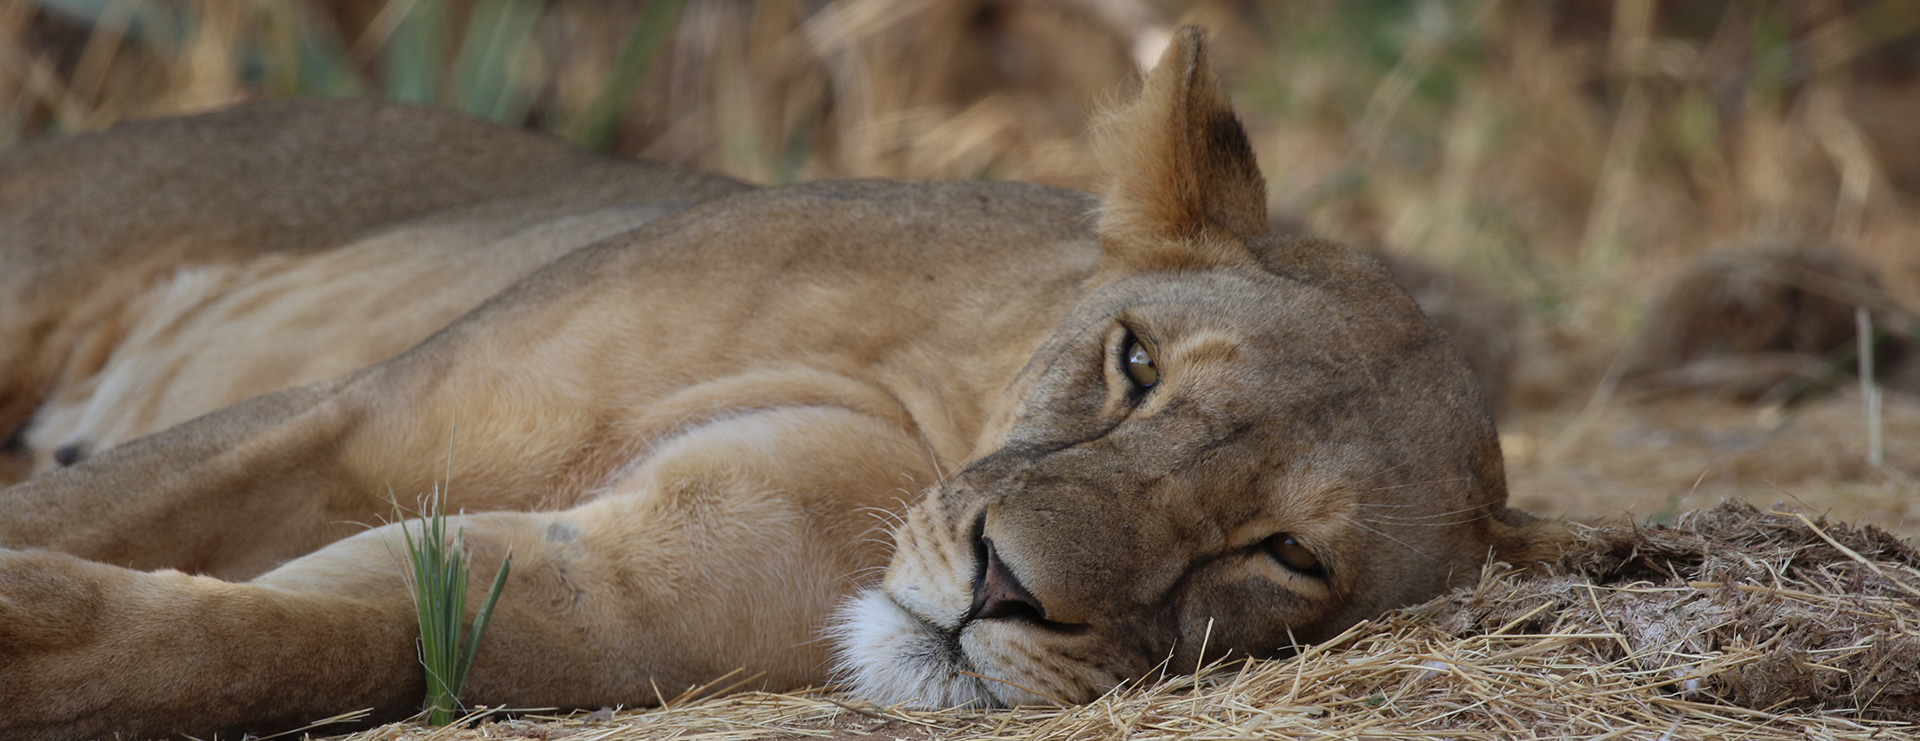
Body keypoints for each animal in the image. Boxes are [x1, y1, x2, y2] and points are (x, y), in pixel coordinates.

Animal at [0, 30, 1559, 741]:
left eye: (1285, 555)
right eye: (1135, 363)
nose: (1001, 588)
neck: (928, 415)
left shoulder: (585, 589)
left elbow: (287, 638)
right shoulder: (363, 418)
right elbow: (118, 509)